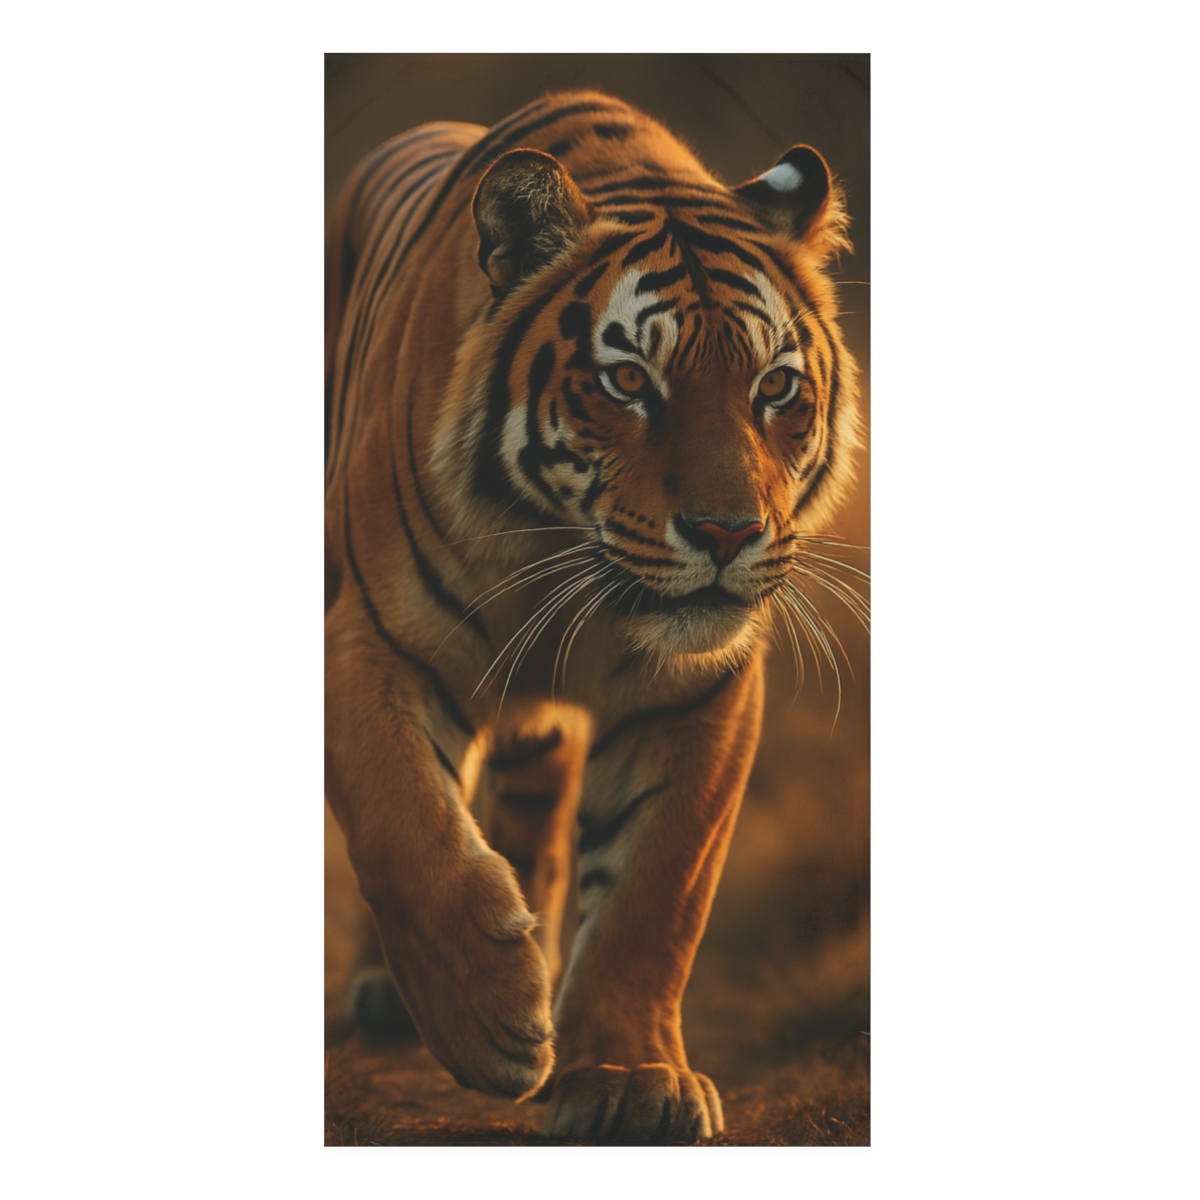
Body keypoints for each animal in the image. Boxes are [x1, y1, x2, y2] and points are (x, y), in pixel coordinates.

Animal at [324, 90, 863, 1144]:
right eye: (628, 383)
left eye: (774, 387)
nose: (729, 531)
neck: (560, 562)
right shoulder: (366, 637)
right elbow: (405, 825)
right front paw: (489, 1025)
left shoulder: (701, 690)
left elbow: (655, 895)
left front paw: (628, 1079)